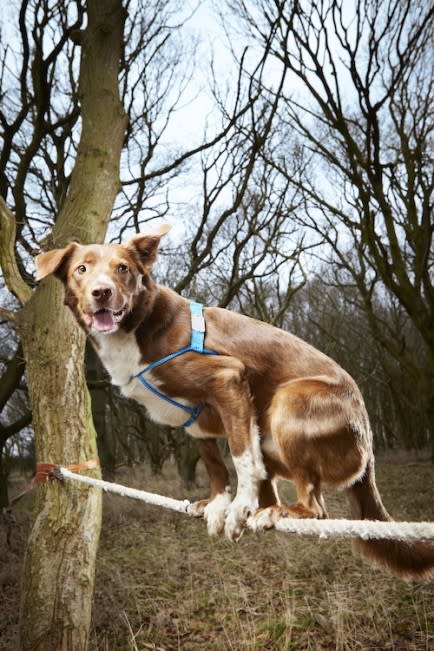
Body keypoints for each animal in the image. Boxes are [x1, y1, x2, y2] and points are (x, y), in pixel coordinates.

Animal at [36, 225, 434, 580]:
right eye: (81, 269)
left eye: (123, 268)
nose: (101, 292)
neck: (137, 328)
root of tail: (368, 455)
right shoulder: (195, 419)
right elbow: (215, 465)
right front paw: (216, 503)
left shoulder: (228, 379)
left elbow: (242, 459)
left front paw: (237, 504)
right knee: (271, 485)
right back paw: (264, 510)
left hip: (289, 403)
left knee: (314, 505)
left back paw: (281, 511)